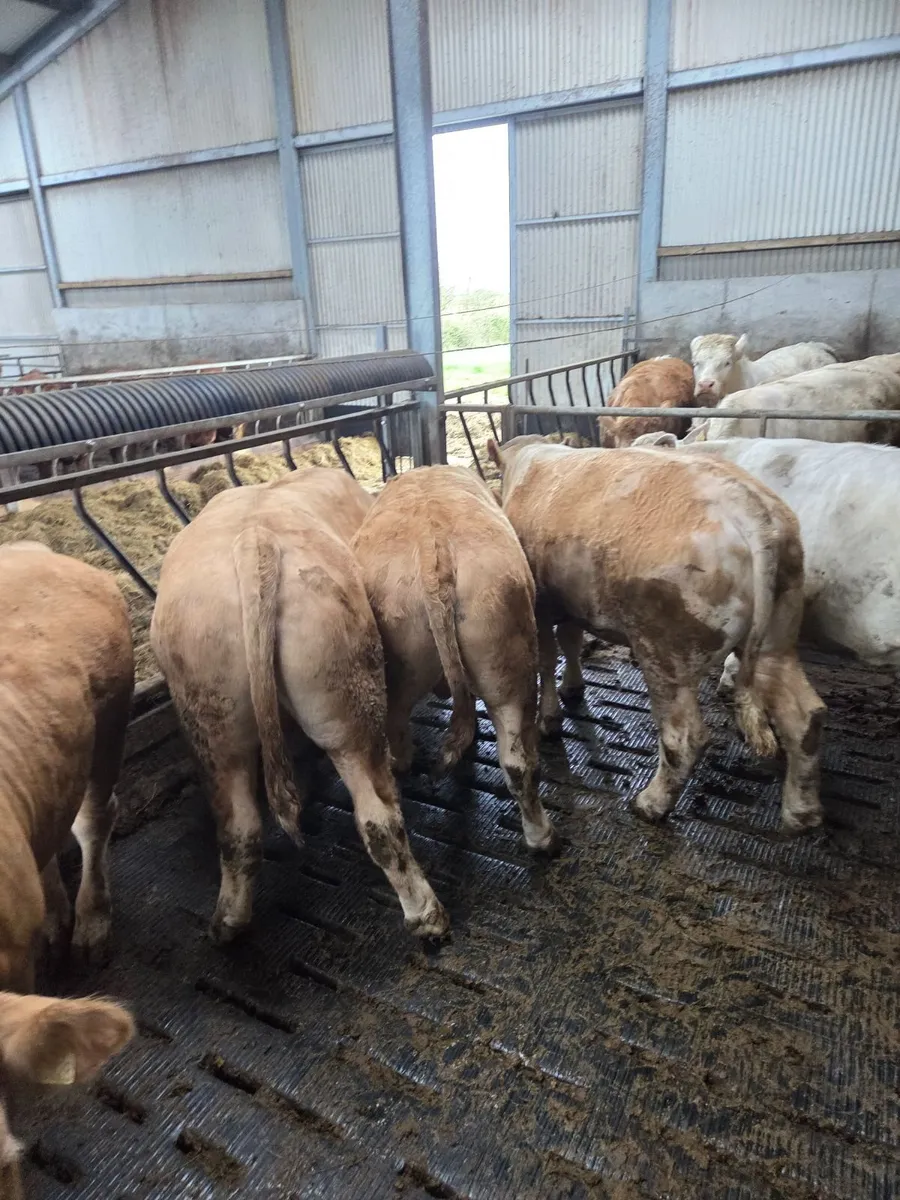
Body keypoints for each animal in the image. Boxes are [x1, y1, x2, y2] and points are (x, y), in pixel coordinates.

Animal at [150, 467, 448, 941]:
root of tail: (254, 541)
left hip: (213, 719)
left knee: (238, 828)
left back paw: (229, 923)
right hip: (347, 702)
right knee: (378, 817)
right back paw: (427, 915)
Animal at [486, 437, 827, 833]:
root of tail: (752, 512)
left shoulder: (541, 604)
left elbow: (546, 657)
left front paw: (549, 719)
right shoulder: (571, 601)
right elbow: (570, 642)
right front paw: (573, 687)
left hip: (666, 650)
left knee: (685, 738)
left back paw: (650, 804)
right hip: (778, 634)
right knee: (805, 716)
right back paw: (802, 813)